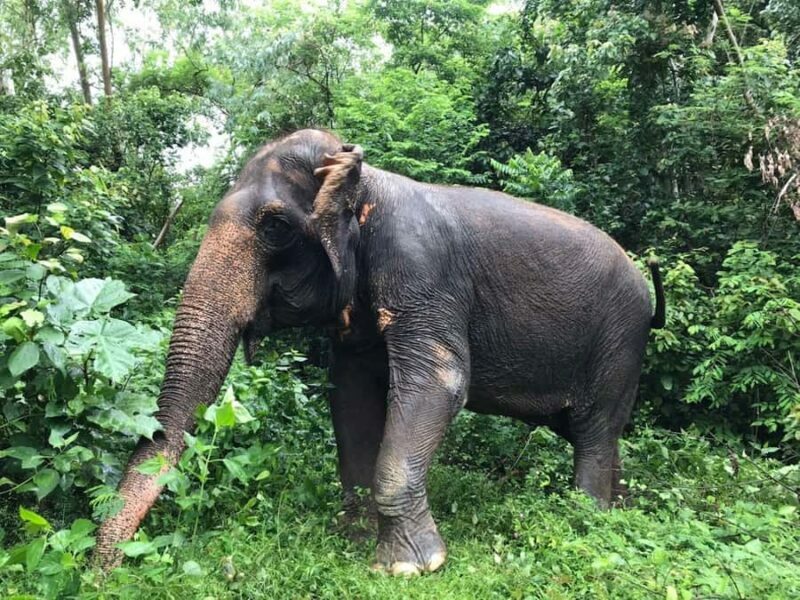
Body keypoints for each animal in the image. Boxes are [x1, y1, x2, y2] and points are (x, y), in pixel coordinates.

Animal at [95, 128, 665, 574]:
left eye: (275, 227)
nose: (103, 572)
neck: (365, 177)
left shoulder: (422, 269)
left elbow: (438, 382)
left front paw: (411, 565)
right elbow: (351, 395)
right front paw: (356, 535)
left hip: (620, 341)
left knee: (594, 427)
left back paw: (587, 515)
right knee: (592, 430)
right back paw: (618, 506)